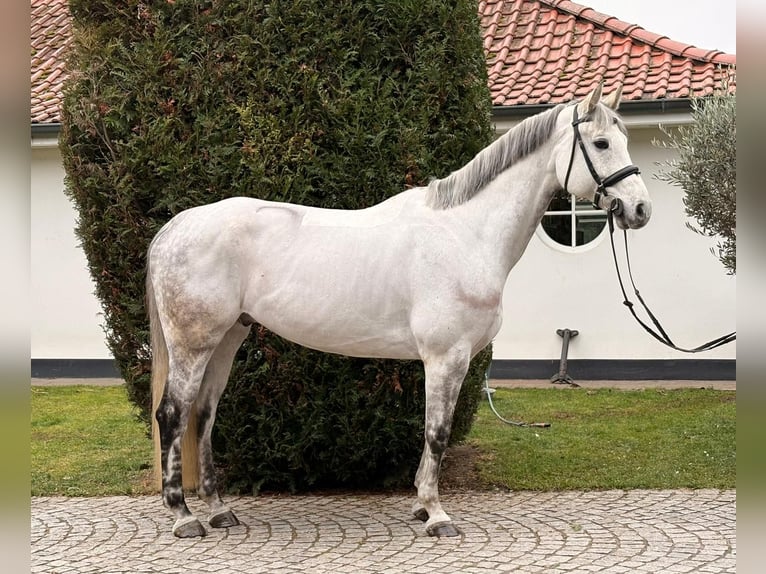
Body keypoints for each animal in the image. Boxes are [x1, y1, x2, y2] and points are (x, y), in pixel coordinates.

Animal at [147, 82, 651, 539]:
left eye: (625, 139)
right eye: (602, 143)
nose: (640, 209)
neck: (465, 233)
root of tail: (176, 227)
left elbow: (431, 433)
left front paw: (421, 507)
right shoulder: (446, 357)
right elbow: (438, 432)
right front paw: (437, 515)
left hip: (228, 338)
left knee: (204, 415)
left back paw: (218, 510)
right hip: (194, 343)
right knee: (172, 414)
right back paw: (184, 517)